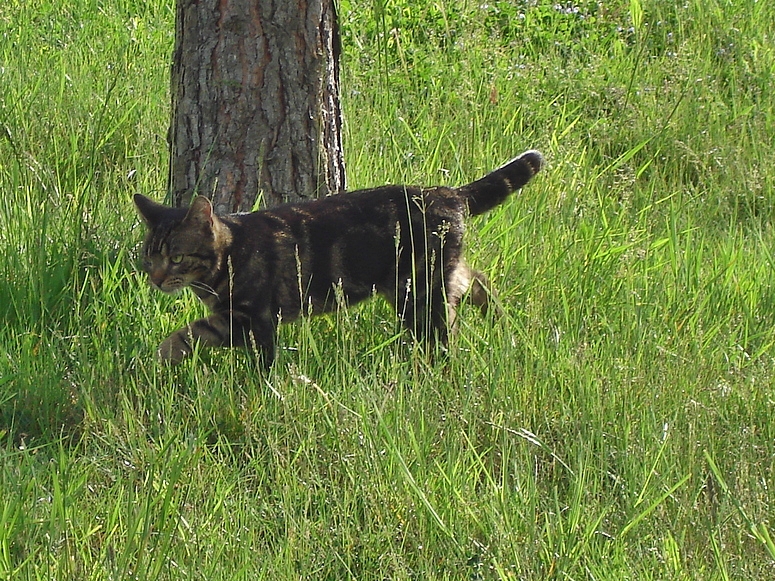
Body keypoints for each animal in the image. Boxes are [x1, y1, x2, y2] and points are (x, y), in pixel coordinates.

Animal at [135, 151, 544, 368]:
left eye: (176, 257)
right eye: (149, 258)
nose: (156, 279)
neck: (228, 256)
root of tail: (449, 192)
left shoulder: (256, 318)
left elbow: (261, 360)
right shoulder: (229, 320)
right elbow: (186, 334)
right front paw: (160, 359)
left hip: (418, 290)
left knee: (446, 328)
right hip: (426, 281)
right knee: (477, 281)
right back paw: (504, 325)